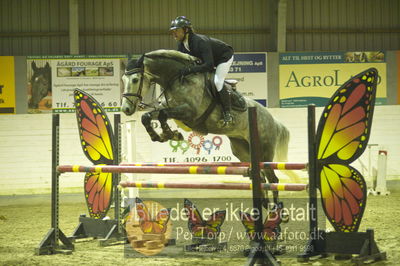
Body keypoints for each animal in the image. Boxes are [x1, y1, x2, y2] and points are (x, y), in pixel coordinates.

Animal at [120, 49, 296, 204]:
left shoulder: (189, 112)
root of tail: (272, 119)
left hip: (265, 152)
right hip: (242, 150)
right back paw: (264, 204)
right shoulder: (172, 111)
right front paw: (163, 135)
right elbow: (148, 116)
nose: (125, 109)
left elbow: (163, 114)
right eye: (122, 80)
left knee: (273, 179)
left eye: (135, 80)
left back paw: (277, 211)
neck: (176, 79)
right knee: (260, 176)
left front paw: (170, 134)